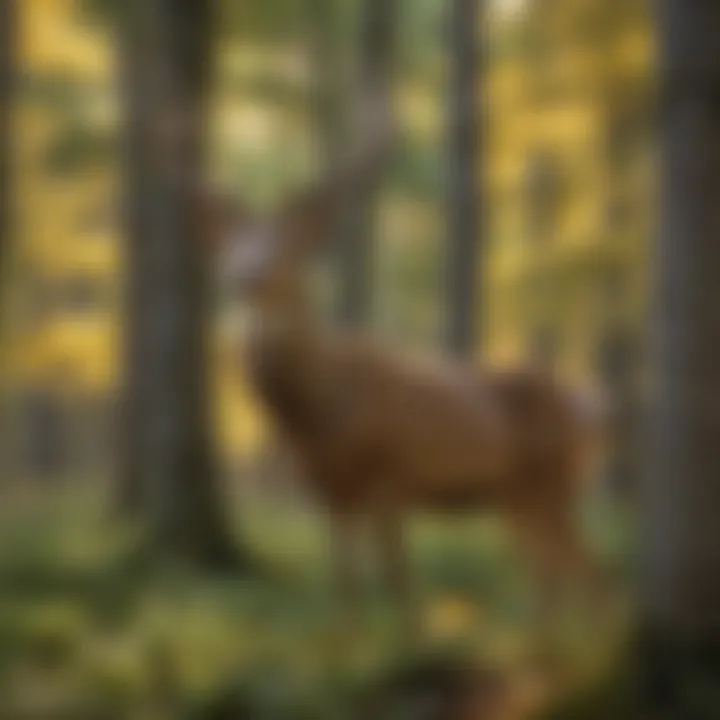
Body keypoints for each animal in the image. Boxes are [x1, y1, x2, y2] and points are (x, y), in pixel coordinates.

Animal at [199, 96, 608, 627]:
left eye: (291, 246)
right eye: (234, 243)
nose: (244, 274)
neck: (318, 414)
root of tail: (592, 410)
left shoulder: (391, 475)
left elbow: (399, 583)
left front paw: (410, 634)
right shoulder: (328, 491)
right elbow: (345, 587)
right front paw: (348, 636)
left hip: (553, 480)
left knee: (587, 573)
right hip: (519, 496)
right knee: (556, 576)